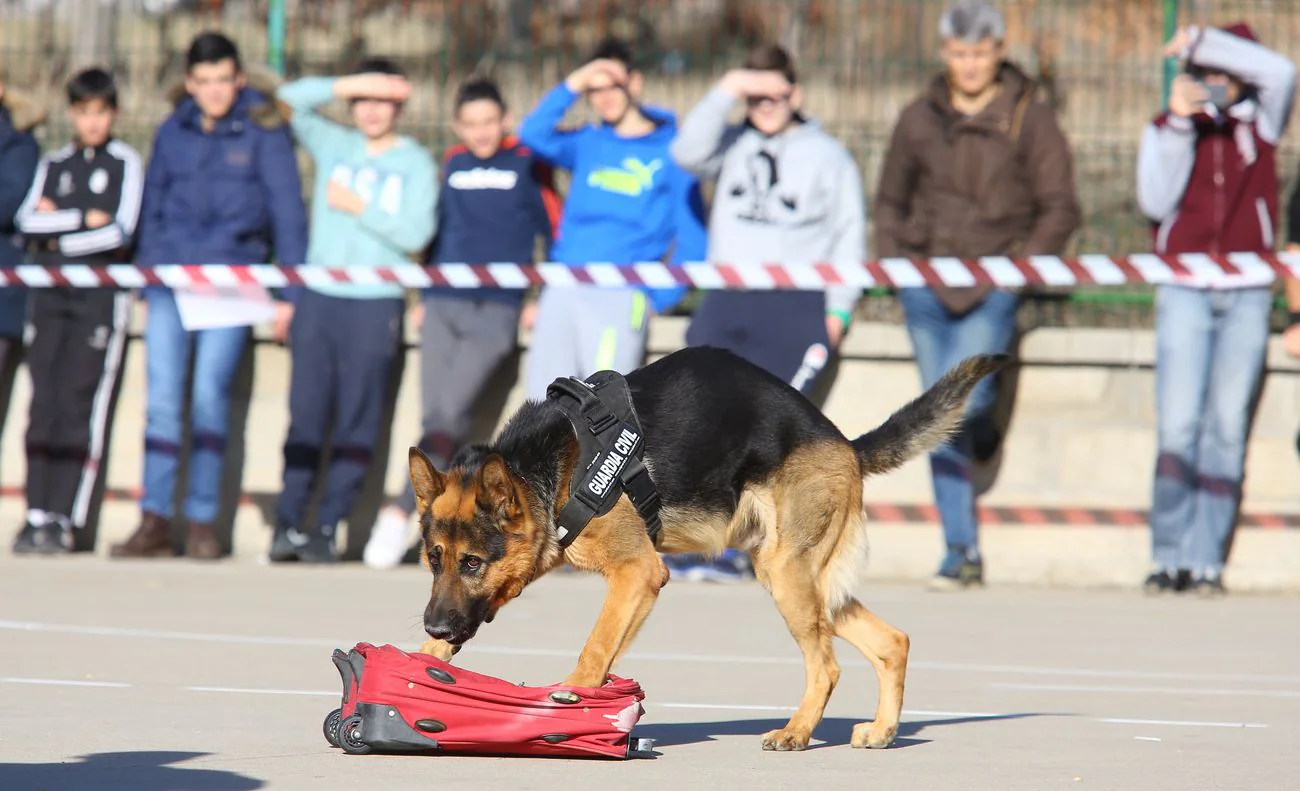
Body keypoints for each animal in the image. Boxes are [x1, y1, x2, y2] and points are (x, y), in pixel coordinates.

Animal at [410, 343, 998, 749]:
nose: (434, 625)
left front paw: (571, 699)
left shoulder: (638, 572)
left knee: (827, 665)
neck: (547, 469)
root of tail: (844, 443)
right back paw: (881, 730)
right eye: (435, 561)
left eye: (473, 563)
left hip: (789, 576)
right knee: (892, 641)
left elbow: (596, 646)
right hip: (797, 578)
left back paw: (798, 731)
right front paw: (421, 664)